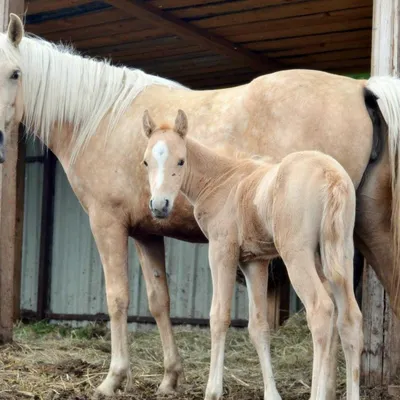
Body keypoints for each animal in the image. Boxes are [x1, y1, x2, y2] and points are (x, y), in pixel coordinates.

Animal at [142, 109, 364, 400]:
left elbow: (219, 316)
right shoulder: (254, 262)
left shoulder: (221, 250)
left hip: (297, 255)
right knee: (350, 319)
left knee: (321, 310)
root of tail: (331, 176)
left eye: (180, 161)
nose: (159, 206)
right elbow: (258, 326)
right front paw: (272, 394)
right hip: (340, 253)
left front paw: (212, 390)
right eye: (146, 162)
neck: (222, 181)